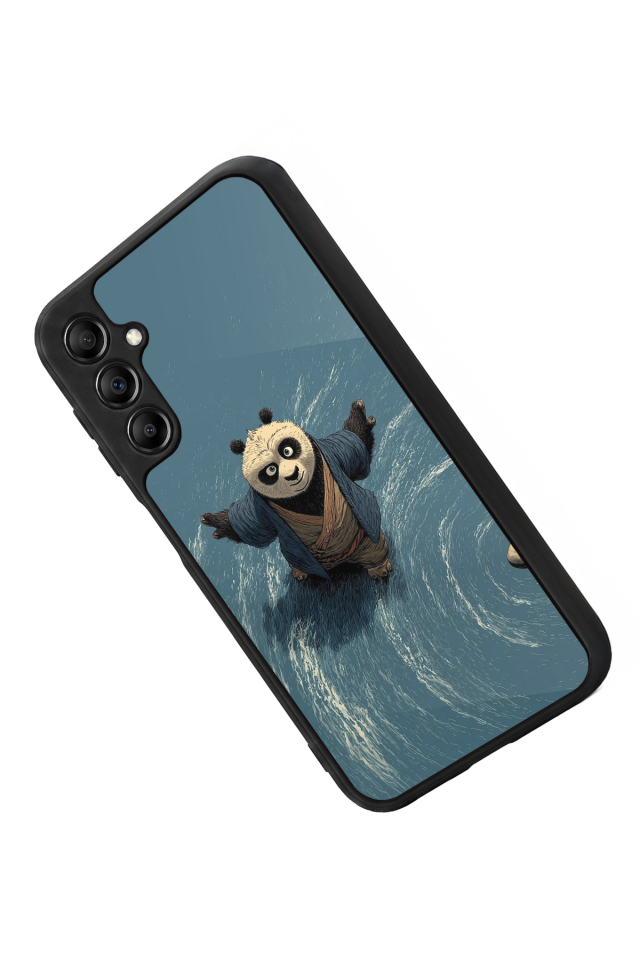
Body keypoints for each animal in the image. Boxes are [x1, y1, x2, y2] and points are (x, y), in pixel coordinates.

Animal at [200, 399, 392, 581]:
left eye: (287, 450)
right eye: (271, 470)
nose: (292, 474)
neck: (305, 493)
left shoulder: (332, 453)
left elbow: (354, 444)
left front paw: (359, 415)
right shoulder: (259, 507)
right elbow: (252, 525)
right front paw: (215, 522)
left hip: (364, 540)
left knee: (374, 549)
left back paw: (379, 567)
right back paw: (301, 572)